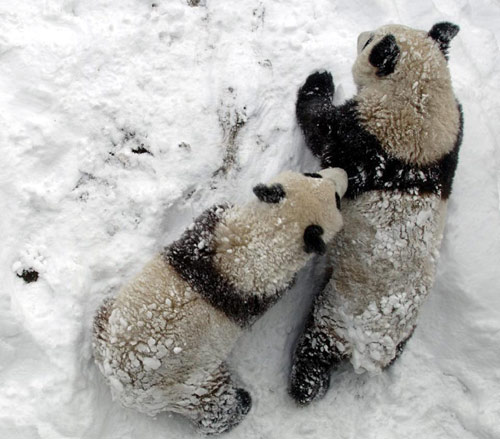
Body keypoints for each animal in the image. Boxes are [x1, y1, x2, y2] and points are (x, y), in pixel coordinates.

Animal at [92, 168, 346, 436]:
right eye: (315, 175)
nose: (343, 173)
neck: (268, 232)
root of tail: (124, 389)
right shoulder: (221, 239)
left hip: (107, 325)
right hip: (190, 382)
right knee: (215, 404)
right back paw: (240, 405)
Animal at [290, 21, 464, 406]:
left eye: (370, 41)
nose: (361, 33)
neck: (421, 97)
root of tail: (372, 352)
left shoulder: (372, 139)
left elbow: (324, 130)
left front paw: (319, 80)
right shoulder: (449, 142)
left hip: (342, 310)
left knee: (316, 344)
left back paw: (304, 385)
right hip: (402, 331)